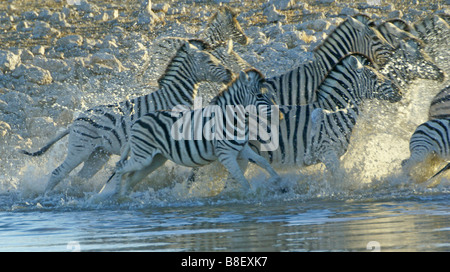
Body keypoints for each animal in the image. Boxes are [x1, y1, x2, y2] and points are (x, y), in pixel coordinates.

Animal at [20, 39, 232, 193]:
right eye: (209, 61)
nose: (230, 73)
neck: (172, 98)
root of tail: (74, 121)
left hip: (98, 155)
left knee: (79, 177)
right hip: (80, 149)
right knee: (58, 173)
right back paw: (47, 197)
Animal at [95, 68, 282, 200]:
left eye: (270, 94)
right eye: (259, 95)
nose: (279, 115)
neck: (231, 119)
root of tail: (137, 121)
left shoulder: (242, 149)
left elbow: (264, 162)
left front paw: (280, 183)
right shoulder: (226, 155)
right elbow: (243, 181)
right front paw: (252, 195)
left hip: (154, 160)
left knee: (130, 177)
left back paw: (126, 198)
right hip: (143, 157)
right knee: (120, 169)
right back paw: (117, 196)